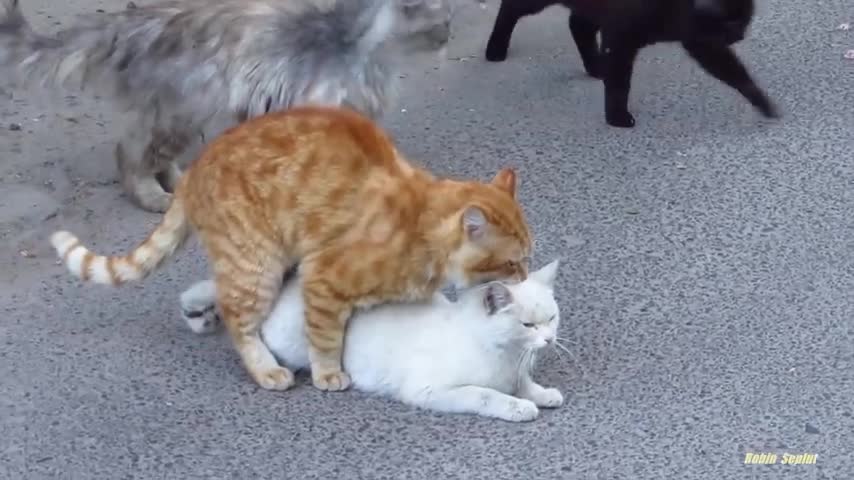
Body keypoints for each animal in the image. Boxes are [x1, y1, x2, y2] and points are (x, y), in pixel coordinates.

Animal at [0, 0, 454, 211]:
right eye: (442, 19)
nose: (449, 32)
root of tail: (126, 23)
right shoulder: (318, 105)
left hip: (175, 113)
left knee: (151, 151)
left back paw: (180, 181)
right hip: (183, 109)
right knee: (130, 154)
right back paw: (152, 194)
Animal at [50, 105, 532, 390]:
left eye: (526, 259)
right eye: (511, 263)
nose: (526, 277)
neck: (419, 229)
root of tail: (194, 169)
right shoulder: (323, 277)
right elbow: (323, 335)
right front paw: (329, 373)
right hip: (257, 264)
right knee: (241, 322)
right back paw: (265, 369)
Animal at [179, 260, 568, 422]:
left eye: (551, 318)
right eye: (528, 324)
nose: (549, 339)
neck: (506, 356)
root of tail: (296, 279)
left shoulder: (517, 372)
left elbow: (525, 384)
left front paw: (543, 394)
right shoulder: (430, 388)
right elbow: (486, 395)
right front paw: (518, 407)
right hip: (288, 342)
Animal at [484, 0, 780, 127]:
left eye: (746, 18)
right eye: (732, 22)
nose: (740, 35)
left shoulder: (700, 41)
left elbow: (735, 73)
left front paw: (763, 103)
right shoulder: (621, 37)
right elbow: (619, 83)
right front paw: (617, 117)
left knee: (578, 25)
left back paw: (596, 67)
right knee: (511, 8)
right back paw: (494, 49)